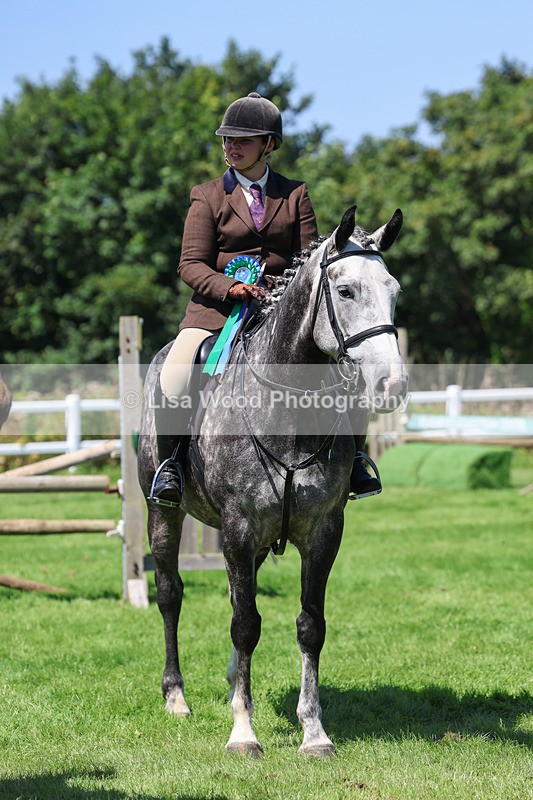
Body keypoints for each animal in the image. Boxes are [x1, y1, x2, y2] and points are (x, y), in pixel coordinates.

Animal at [137, 205, 408, 757]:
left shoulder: (322, 531)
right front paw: (243, 732)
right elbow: (245, 624)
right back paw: (176, 696)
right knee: (171, 593)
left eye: (393, 289)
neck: (288, 411)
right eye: (345, 291)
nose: (392, 385)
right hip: (163, 513)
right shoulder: (239, 529)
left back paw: (229, 682)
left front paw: (314, 732)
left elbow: (309, 626)